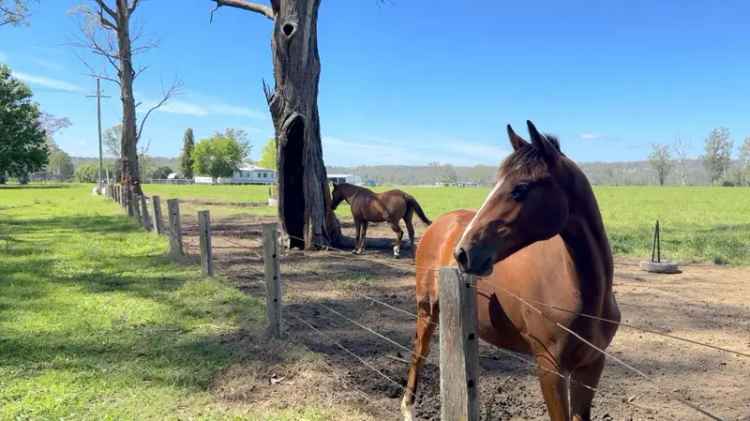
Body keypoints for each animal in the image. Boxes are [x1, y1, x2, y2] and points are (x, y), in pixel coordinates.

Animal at [402, 120, 620, 420]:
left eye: (520, 188)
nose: (463, 253)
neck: (580, 290)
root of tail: (440, 224)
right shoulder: (549, 368)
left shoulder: (590, 366)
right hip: (427, 311)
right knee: (418, 354)